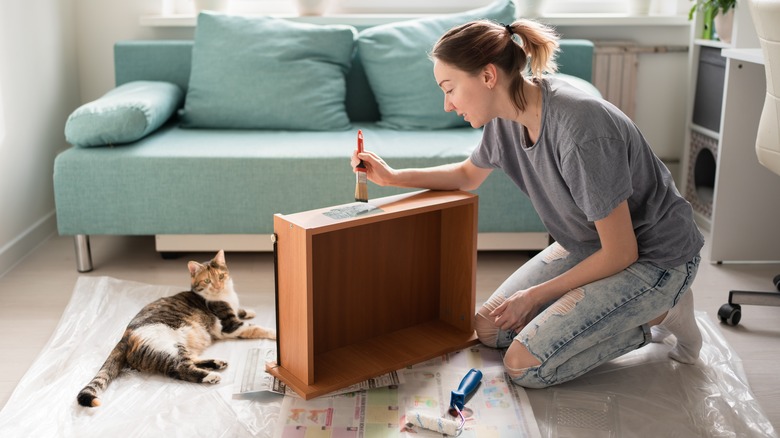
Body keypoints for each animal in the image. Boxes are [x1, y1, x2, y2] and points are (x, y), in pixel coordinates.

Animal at [76, 250, 276, 408]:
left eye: (221, 276)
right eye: (207, 280)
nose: (219, 285)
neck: (226, 295)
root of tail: (125, 336)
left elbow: (241, 310)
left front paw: (249, 311)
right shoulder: (231, 325)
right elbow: (256, 328)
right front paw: (274, 332)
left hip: (179, 346)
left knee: (189, 361)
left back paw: (217, 363)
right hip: (167, 345)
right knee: (181, 368)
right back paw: (211, 376)